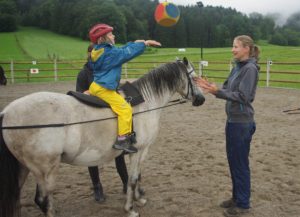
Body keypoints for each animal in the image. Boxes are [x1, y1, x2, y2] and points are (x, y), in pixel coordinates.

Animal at [0, 56, 205, 216]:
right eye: (194, 78)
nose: (201, 99)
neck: (146, 103)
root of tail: (7, 113)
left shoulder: (140, 152)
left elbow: (136, 176)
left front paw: (139, 200)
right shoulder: (139, 151)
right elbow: (132, 179)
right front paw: (130, 208)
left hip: (25, 168)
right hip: (45, 170)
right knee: (43, 200)